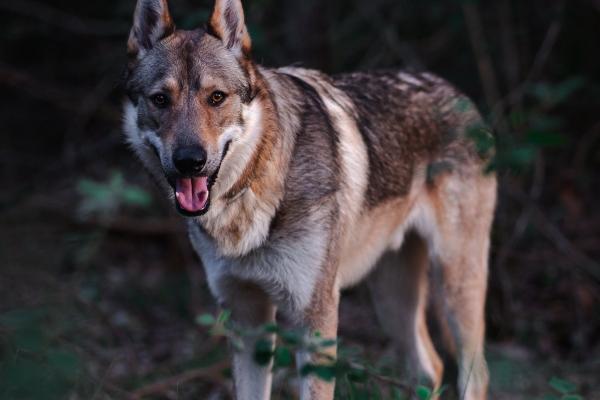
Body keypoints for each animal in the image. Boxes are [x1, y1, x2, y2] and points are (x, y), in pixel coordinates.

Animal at [123, 1, 496, 398]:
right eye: (161, 100)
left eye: (217, 98)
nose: (189, 160)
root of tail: (459, 94)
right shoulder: (247, 317)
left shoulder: (316, 318)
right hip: (391, 299)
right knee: (430, 368)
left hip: (456, 285)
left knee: (475, 373)